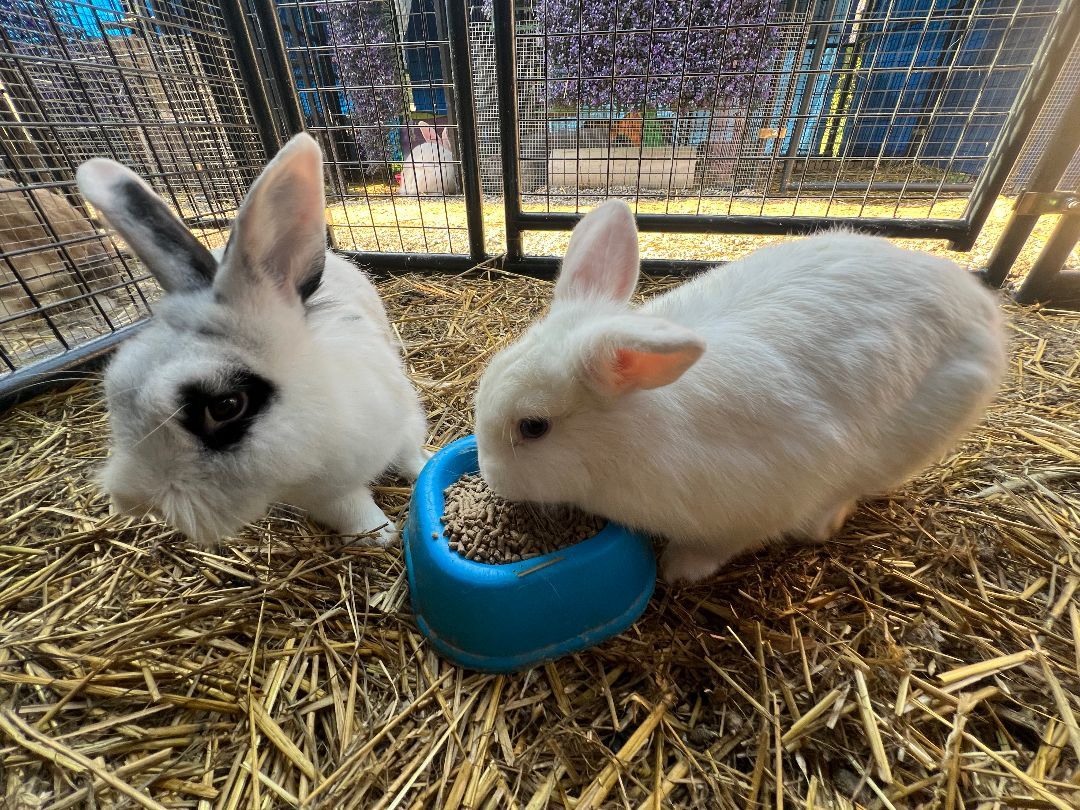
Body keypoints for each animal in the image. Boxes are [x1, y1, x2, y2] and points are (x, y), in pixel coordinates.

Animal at [75, 132, 430, 546]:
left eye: (225, 406)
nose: (134, 501)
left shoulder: (402, 421)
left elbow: (408, 453)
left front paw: (421, 471)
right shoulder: (323, 493)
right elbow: (350, 507)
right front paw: (376, 536)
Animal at [473, 200, 1008, 585]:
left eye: (533, 427)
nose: (492, 479)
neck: (630, 437)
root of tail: (981, 306)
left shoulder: (758, 502)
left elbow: (719, 545)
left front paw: (678, 569)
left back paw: (825, 522)